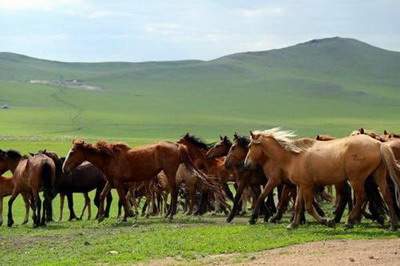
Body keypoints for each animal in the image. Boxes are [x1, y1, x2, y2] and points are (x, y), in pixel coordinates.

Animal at [61, 138, 209, 221]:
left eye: (72, 152)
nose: (64, 168)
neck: (109, 158)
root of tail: (177, 146)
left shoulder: (118, 182)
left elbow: (123, 198)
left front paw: (127, 216)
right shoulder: (111, 181)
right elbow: (103, 196)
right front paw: (101, 217)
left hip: (169, 172)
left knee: (174, 191)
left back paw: (170, 215)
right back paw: (167, 214)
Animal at [244, 128, 400, 230]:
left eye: (250, 146)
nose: (246, 164)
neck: (292, 156)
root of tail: (379, 144)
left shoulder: (306, 186)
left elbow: (308, 206)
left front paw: (326, 221)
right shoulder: (301, 185)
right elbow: (298, 205)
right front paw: (293, 224)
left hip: (356, 179)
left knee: (362, 197)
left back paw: (349, 221)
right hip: (378, 175)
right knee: (387, 196)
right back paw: (393, 224)